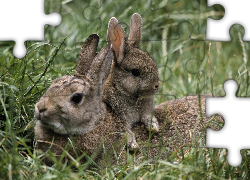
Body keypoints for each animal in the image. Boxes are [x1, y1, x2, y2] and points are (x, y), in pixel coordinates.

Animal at [103, 13, 160, 150]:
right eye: (135, 72)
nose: (156, 85)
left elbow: (147, 116)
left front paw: (153, 126)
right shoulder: (117, 115)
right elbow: (124, 129)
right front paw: (132, 144)